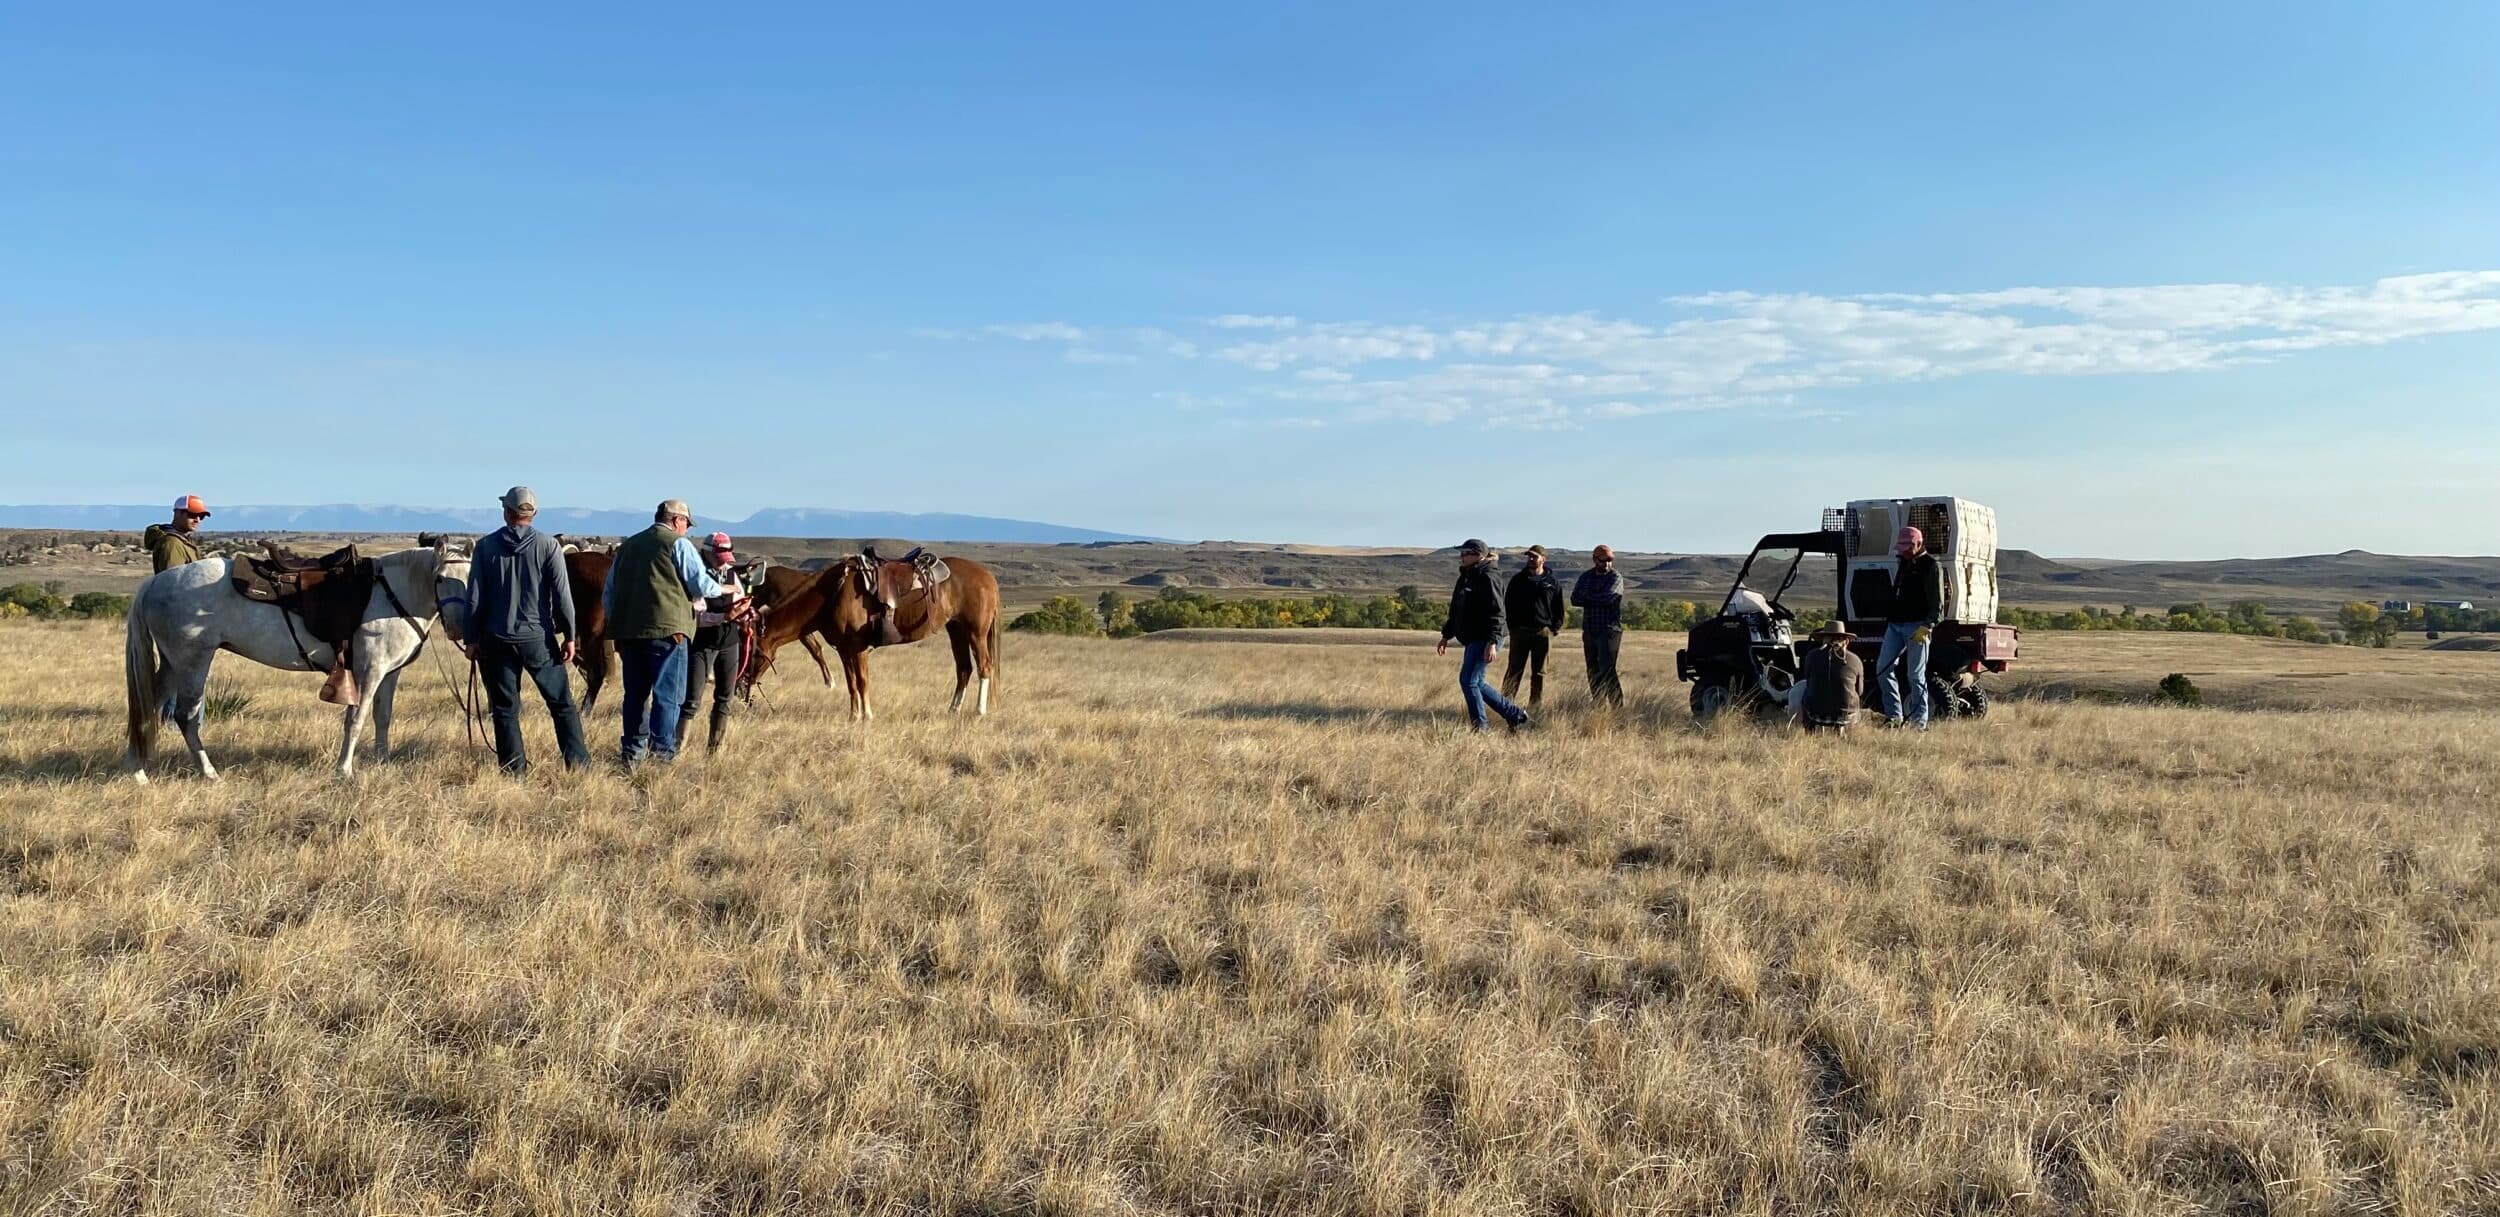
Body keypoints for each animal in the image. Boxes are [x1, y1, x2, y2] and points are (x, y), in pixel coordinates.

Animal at [123, 535, 472, 782]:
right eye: (441, 578)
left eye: (471, 579)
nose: (458, 627)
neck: (392, 593)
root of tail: (155, 582)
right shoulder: (369, 671)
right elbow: (356, 720)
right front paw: (344, 771)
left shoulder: (388, 673)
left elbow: (382, 717)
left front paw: (382, 763)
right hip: (193, 662)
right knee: (185, 716)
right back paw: (209, 774)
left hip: (172, 664)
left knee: (148, 708)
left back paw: (137, 772)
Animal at [748, 550, 1001, 719]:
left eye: (756, 654)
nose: (745, 686)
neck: (832, 593)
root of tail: (988, 576)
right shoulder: (844, 650)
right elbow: (851, 684)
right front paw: (853, 716)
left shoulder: (858, 648)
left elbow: (862, 682)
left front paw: (867, 716)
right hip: (956, 630)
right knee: (964, 669)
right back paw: (953, 709)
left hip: (976, 632)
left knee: (984, 666)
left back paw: (979, 711)